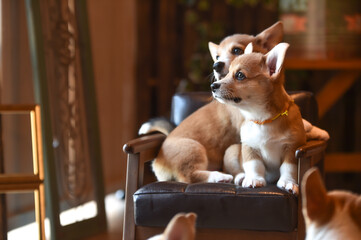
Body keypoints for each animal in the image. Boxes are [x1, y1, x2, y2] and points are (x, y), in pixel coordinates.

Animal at [150, 23, 282, 183]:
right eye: (217, 56)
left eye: (237, 50)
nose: (216, 65)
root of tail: (157, 162)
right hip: (193, 147)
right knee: (191, 176)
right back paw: (220, 176)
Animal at [212, 42, 306, 194]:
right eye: (227, 73)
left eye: (239, 75)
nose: (212, 86)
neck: (262, 119)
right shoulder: (250, 147)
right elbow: (254, 165)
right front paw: (253, 179)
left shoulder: (292, 148)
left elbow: (288, 168)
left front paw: (288, 182)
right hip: (231, 151)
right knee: (234, 171)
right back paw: (241, 177)